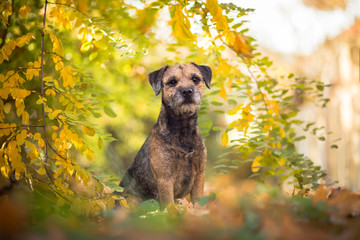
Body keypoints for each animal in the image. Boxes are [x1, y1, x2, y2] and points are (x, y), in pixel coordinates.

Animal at [119, 62, 212, 207]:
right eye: (172, 82)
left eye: (195, 79)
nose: (187, 91)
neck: (182, 129)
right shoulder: (165, 179)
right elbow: (169, 205)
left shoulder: (199, 175)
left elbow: (197, 202)